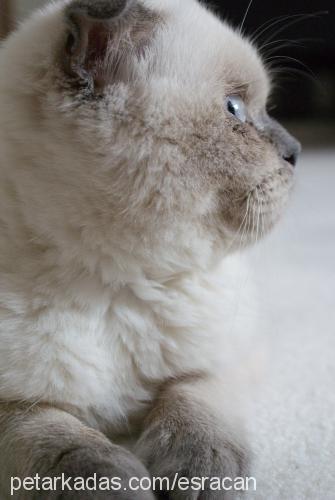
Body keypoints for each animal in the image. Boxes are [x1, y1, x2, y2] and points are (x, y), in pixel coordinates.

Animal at [0, 0, 302, 498]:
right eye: (234, 109)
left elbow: (194, 397)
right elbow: (60, 442)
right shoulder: (14, 404)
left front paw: (196, 474)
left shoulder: (228, 356)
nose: (296, 150)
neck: (113, 286)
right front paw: (114, 482)